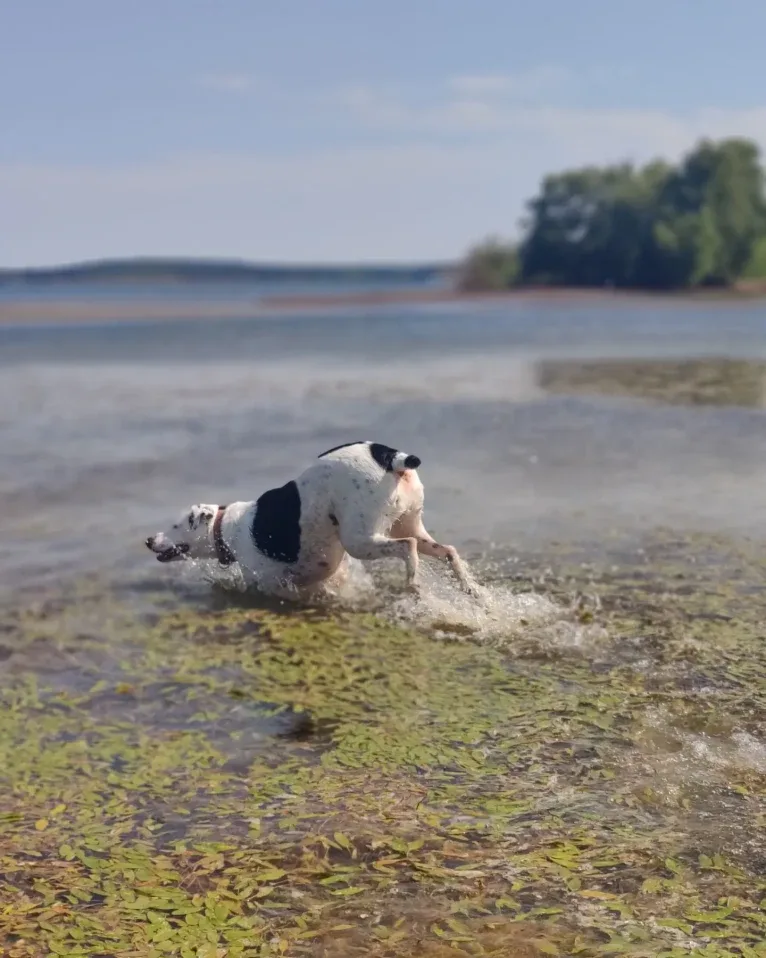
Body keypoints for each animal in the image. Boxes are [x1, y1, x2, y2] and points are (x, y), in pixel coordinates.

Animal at [145, 442, 480, 600]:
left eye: (175, 525)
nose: (148, 540)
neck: (226, 527)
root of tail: (390, 456)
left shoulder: (270, 584)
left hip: (360, 539)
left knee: (407, 547)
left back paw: (413, 583)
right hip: (410, 523)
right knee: (447, 550)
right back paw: (469, 587)